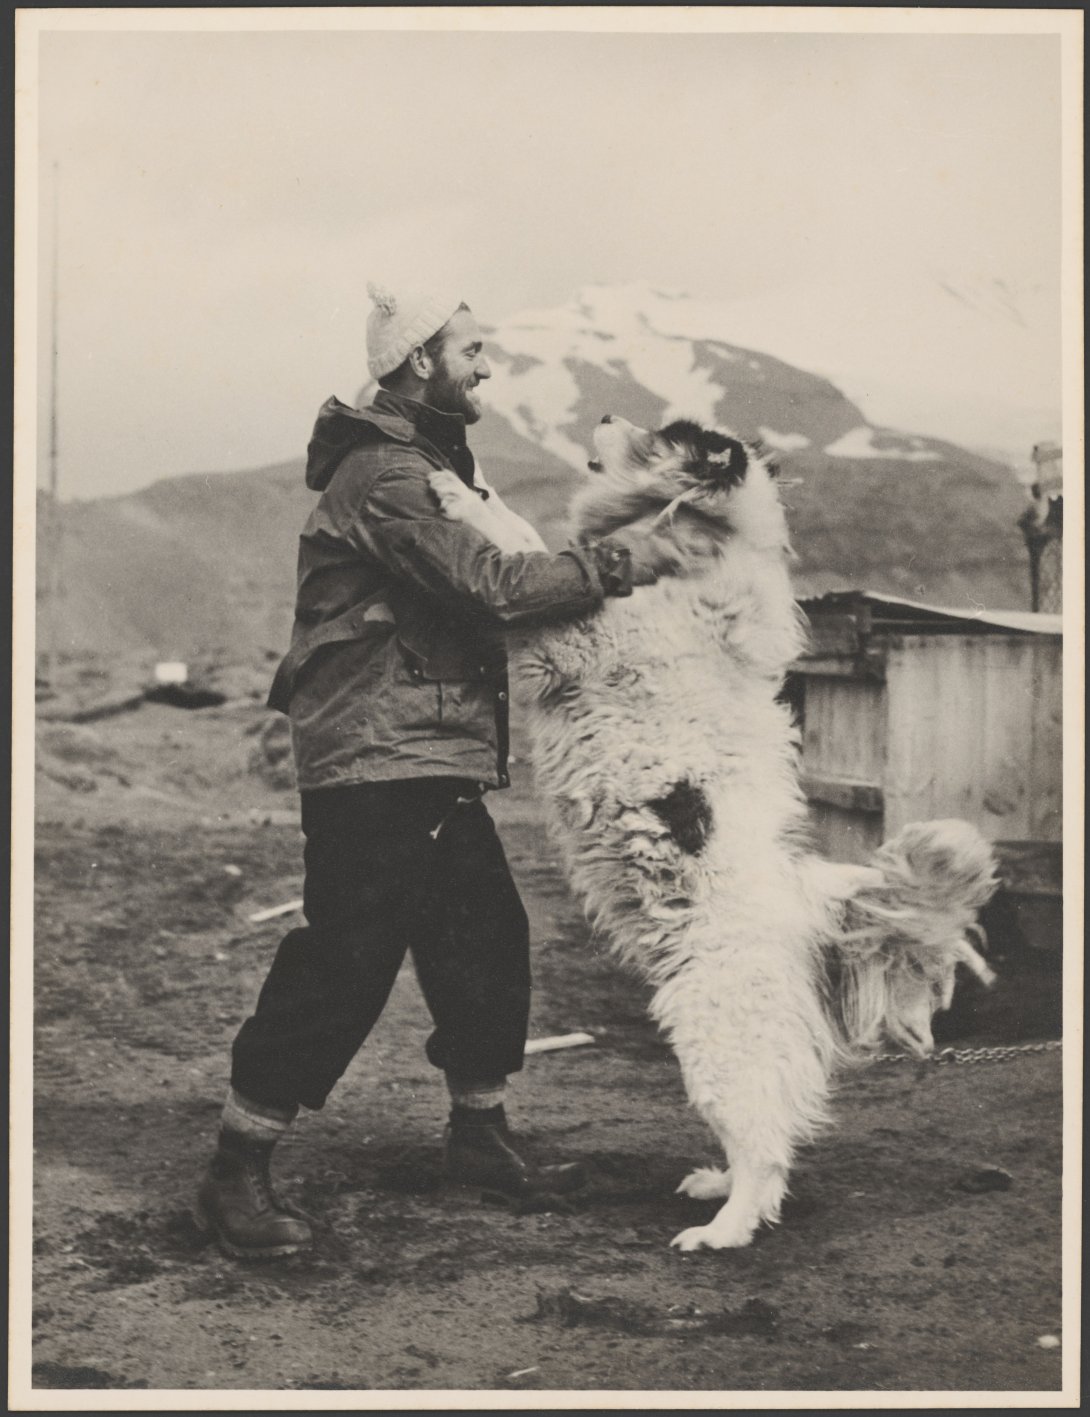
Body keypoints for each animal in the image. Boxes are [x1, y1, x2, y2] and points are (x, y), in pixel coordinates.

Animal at [425, 413, 997, 1252]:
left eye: (662, 434)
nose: (604, 414)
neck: (698, 554)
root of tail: (809, 907)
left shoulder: (572, 632)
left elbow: (520, 536)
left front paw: (460, 491)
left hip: (715, 1029)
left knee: (764, 1142)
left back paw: (723, 1229)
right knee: (764, 1137)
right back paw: (717, 1188)